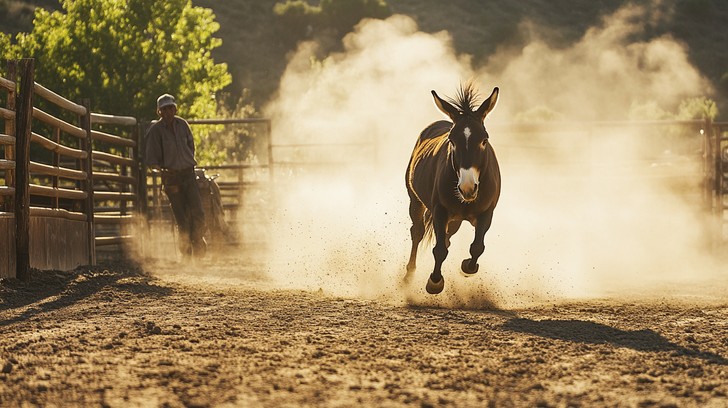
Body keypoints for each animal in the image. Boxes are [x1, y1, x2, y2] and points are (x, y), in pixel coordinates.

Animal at [404, 83, 501, 294]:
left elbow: (477, 247)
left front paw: (467, 267)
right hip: (415, 201)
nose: (467, 187)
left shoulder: (487, 212)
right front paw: (434, 282)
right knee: (418, 232)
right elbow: (439, 249)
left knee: (448, 236)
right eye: (452, 141)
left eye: (484, 140)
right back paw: (408, 275)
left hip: (455, 219)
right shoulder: (440, 210)